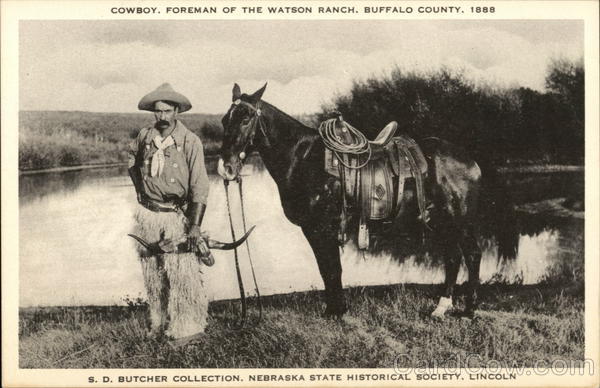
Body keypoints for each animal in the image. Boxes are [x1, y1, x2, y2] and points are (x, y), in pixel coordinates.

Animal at [218, 83, 516, 320]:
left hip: (459, 219)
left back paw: (469, 310)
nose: (226, 168)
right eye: (224, 120)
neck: (303, 158)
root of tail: (470, 159)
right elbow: (327, 270)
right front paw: (334, 309)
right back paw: (440, 308)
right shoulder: (315, 230)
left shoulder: (321, 227)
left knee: (472, 255)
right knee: (453, 257)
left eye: (246, 118)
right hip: (441, 220)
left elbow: (332, 269)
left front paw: (336, 312)